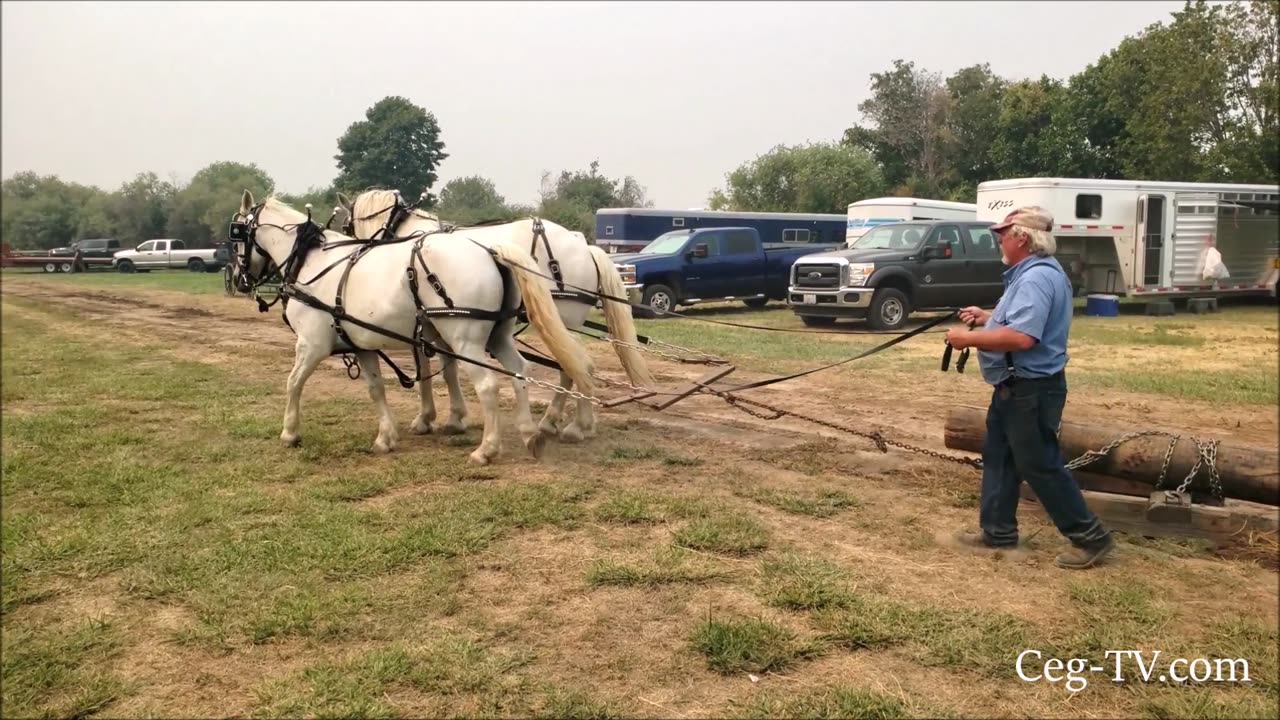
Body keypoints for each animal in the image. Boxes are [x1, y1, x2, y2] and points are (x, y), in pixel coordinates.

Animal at [229, 189, 593, 466]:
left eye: (236, 235)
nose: (238, 279)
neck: (311, 262)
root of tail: (491, 252)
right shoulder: (364, 344)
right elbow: (377, 388)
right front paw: (388, 436)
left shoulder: (311, 344)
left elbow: (293, 383)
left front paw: (290, 432)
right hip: (498, 335)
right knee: (522, 371)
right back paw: (533, 433)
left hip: (470, 339)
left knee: (502, 382)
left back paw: (493, 447)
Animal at [335, 188, 655, 440]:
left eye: (347, 225)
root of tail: (585, 247)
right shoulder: (439, 325)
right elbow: (449, 369)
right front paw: (454, 417)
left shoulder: (426, 326)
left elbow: (428, 371)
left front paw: (426, 418)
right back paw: (563, 422)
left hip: (559, 320)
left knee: (574, 364)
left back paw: (570, 424)